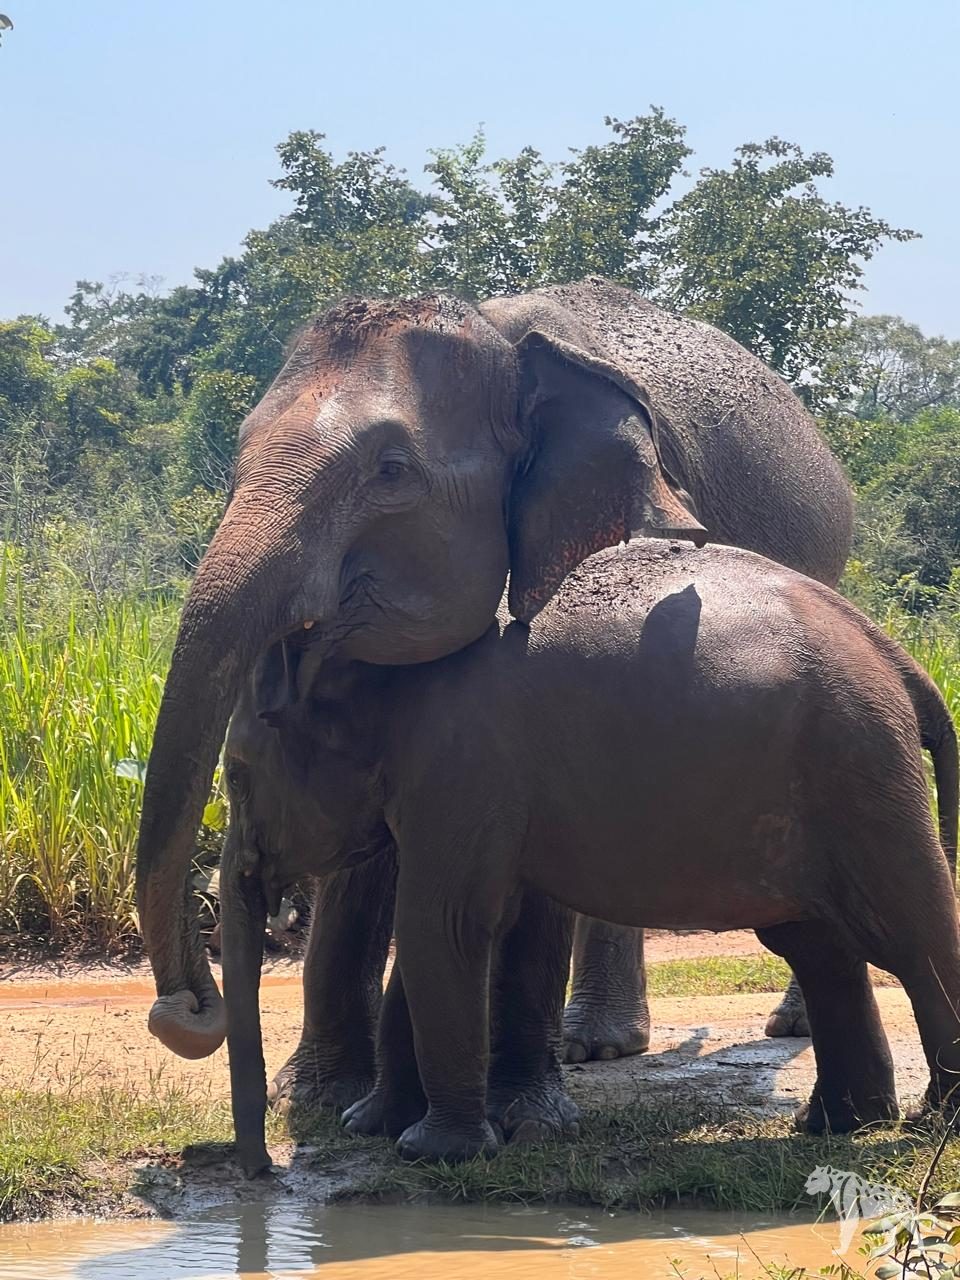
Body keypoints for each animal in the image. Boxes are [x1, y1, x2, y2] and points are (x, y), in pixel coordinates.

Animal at [135, 278, 851, 1083]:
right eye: (237, 458)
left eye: (390, 471)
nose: (184, 1014)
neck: (498, 336)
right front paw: (316, 1093)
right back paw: (596, 1045)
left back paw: (757, 1028)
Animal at [219, 537, 959, 1167]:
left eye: (235, 775)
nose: (262, 1170)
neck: (374, 663)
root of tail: (896, 656)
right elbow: (449, 928)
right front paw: (371, 1128)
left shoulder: (463, 764)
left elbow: (445, 925)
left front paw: (434, 1153)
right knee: (816, 944)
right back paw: (838, 1125)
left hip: (860, 773)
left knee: (908, 937)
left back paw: (930, 1122)